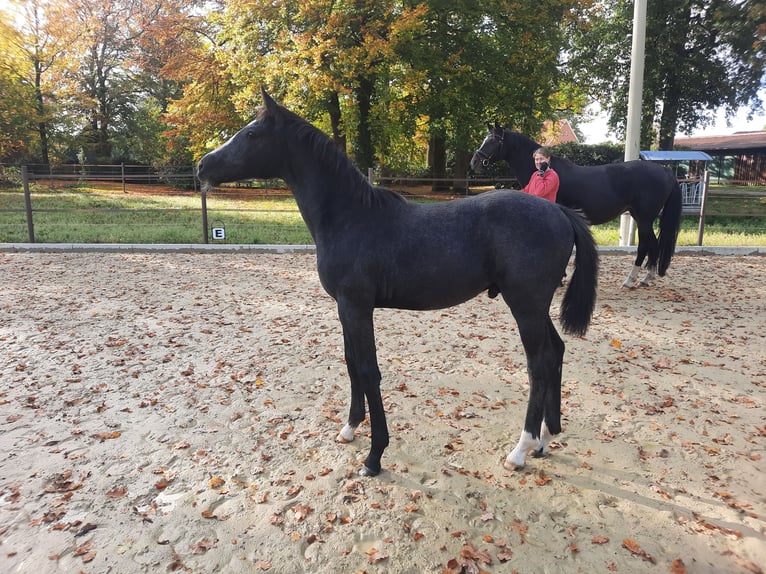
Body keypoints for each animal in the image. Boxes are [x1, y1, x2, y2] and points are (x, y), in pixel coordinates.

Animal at [196, 89, 600, 476]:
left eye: (251, 133)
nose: (202, 165)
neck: (351, 217)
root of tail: (559, 211)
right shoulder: (344, 309)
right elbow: (350, 363)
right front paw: (349, 428)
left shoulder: (357, 307)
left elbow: (368, 370)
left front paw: (374, 457)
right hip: (536, 306)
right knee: (556, 351)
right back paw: (545, 439)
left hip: (525, 306)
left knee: (539, 364)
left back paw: (520, 449)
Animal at [474, 126, 684, 288]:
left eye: (493, 140)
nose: (474, 162)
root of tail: (665, 171)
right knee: (651, 245)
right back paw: (645, 278)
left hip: (644, 218)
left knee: (647, 245)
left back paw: (633, 279)